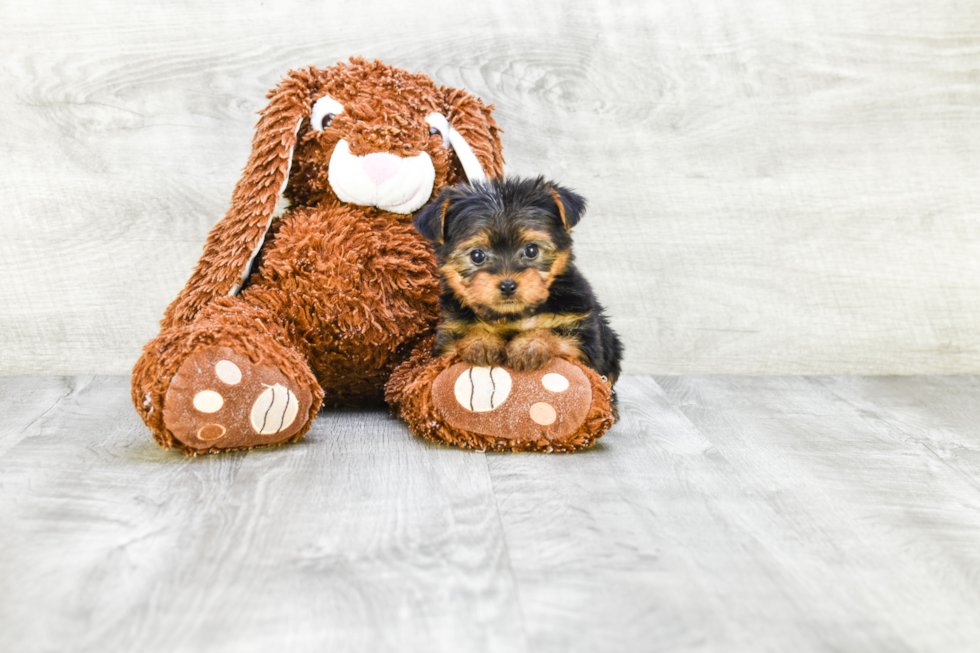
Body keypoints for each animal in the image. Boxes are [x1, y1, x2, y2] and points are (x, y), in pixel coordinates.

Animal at [412, 176, 624, 384]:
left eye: (531, 250)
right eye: (477, 255)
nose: (507, 285)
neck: (514, 316)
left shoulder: (582, 338)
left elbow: (557, 335)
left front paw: (529, 344)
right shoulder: (449, 337)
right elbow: (459, 341)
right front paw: (481, 341)